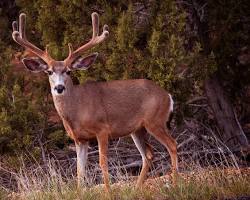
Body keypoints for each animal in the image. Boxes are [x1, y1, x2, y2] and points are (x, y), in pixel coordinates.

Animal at [12, 12, 178, 191]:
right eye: (49, 72)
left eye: (69, 71)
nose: (59, 87)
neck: (78, 110)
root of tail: (168, 96)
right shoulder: (79, 139)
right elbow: (80, 170)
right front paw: (81, 192)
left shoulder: (103, 129)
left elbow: (102, 163)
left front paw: (108, 192)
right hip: (138, 129)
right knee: (147, 154)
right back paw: (136, 188)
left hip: (155, 121)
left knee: (172, 145)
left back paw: (176, 183)